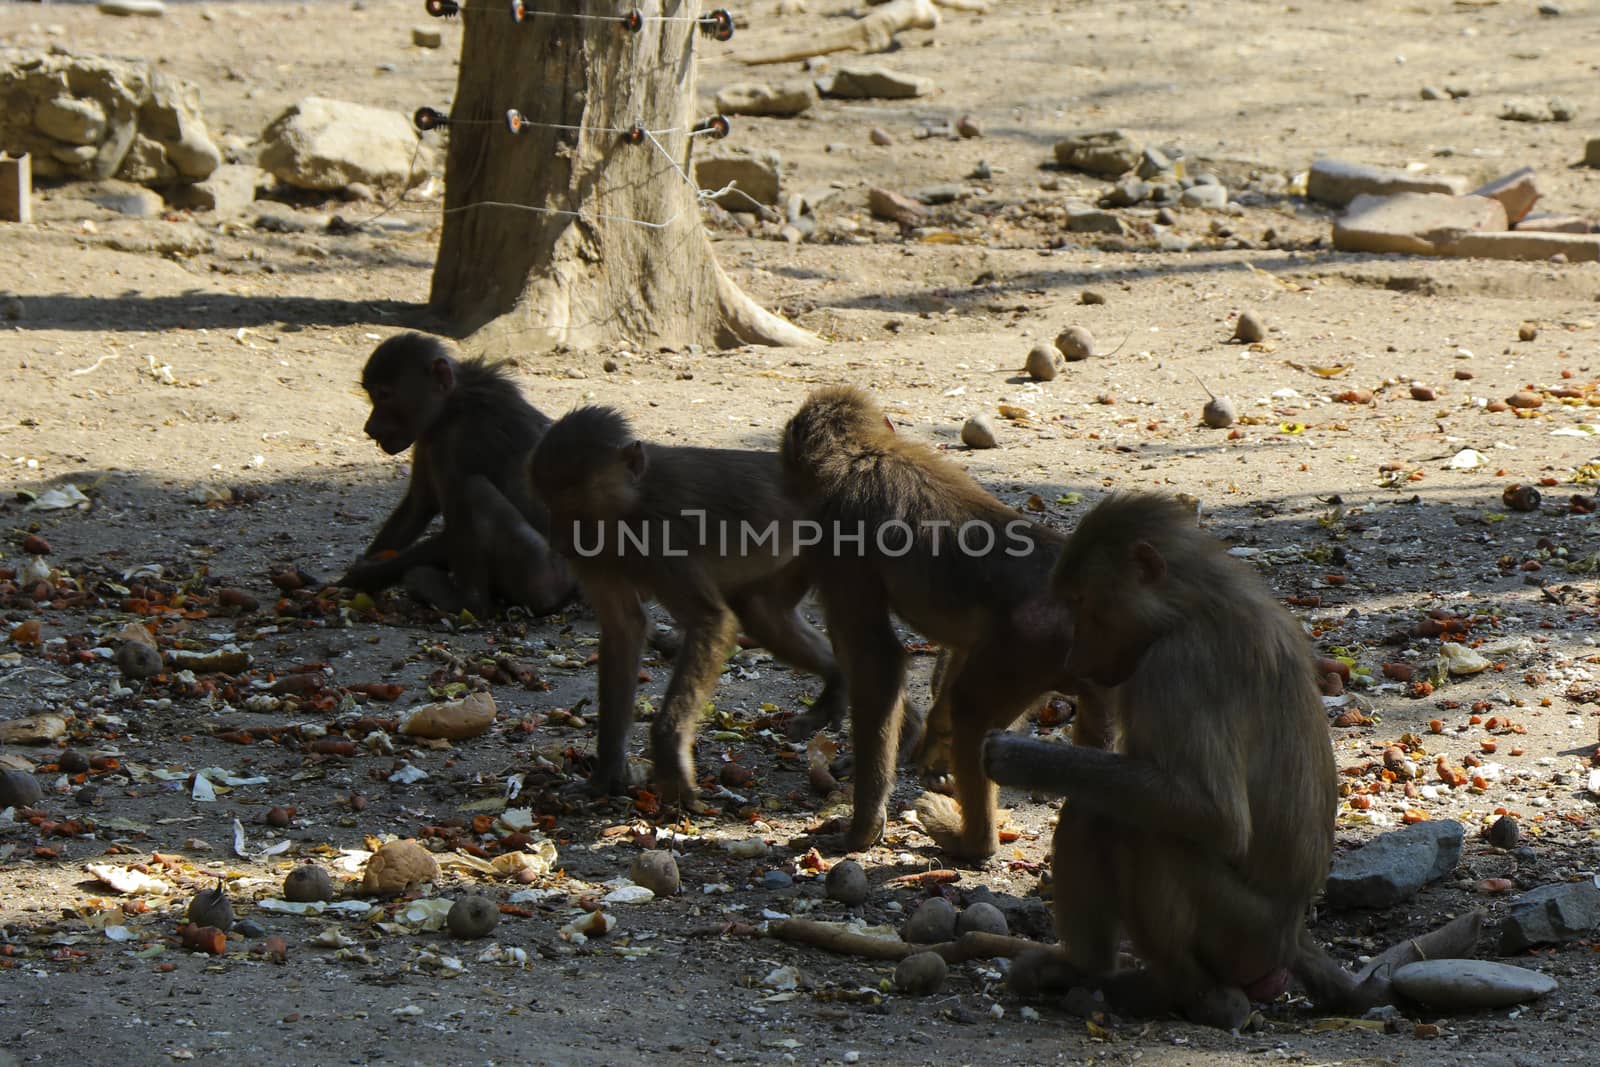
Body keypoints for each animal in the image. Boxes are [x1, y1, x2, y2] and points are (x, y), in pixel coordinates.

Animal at [340, 334, 579, 617]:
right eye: (372, 394)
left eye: (385, 395)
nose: (369, 428)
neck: (451, 405)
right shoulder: (427, 439)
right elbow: (418, 505)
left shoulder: (454, 442)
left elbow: (448, 531)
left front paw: (364, 574)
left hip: (544, 576)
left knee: (473, 491)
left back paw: (467, 603)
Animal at [524, 406, 851, 799]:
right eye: (551, 504)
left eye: (575, 504)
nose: (559, 542)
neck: (633, 506)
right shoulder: (594, 558)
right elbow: (624, 628)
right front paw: (606, 776)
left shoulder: (662, 537)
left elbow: (709, 622)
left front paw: (669, 753)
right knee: (762, 612)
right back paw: (838, 680)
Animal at [777, 388, 1068, 863]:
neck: (864, 452)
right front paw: (928, 743)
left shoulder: (838, 534)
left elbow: (877, 659)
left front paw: (861, 831)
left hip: (1031, 648)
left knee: (971, 710)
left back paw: (973, 842)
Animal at [979, 495, 1478, 1030]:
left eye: (1081, 604)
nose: (1074, 661)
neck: (1188, 606)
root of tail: (1289, 938)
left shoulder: (1177, 667)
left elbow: (1212, 814)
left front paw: (1017, 758)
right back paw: (1087, 972)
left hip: (1240, 935)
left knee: (1123, 821)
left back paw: (1175, 991)